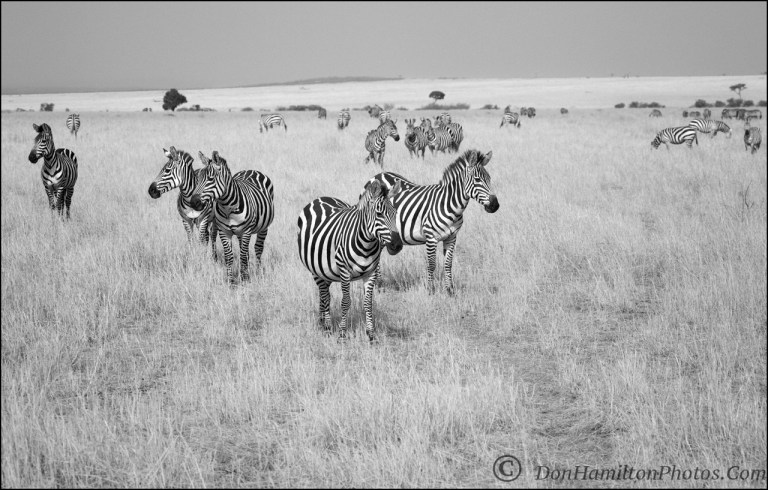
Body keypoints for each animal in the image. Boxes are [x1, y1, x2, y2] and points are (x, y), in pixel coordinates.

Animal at [190, 151, 275, 284]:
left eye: (211, 179)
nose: (193, 203)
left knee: (258, 249)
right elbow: (229, 257)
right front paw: (231, 281)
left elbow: (243, 256)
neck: (228, 208)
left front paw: (245, 280)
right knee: (245, 251)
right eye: (197, 179)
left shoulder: (246, 231)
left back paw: (258, 271)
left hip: (263, 228)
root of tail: (251, 170)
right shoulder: (224, 232)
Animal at [297, 180, 403, 341]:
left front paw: (371, 335)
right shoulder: (344, 271)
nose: (397, 245)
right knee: (325, 295)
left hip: (325, 271)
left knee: (324, 294)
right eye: (379, 214)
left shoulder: (371, 273)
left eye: (395, 213)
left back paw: (322, 322)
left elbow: (368, 303)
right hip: (315, 269)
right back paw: (327, 328)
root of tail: (322, 198)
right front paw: (342, 334)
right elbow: (345, 302)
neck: (366, 244)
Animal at [365, 149, 499, 295]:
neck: (448, 204)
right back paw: (377, 285)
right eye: (477, 180)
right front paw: (430, 290)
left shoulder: (452, 237)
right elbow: (432, 264)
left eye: (490, 178)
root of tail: (378, 174)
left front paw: (450, 290)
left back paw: (378, 283)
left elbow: (448, 264)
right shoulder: (431, 237)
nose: (495, 205)